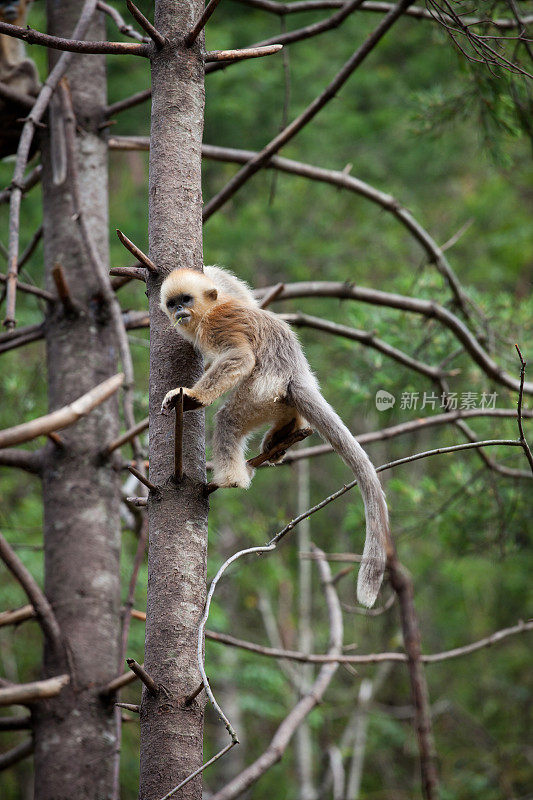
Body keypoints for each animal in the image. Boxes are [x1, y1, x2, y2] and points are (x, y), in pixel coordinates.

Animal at [160, 268, 388, 608]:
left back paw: (231, 479)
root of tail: (296, 376)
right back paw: (285, 433)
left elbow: (240, 357)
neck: (211, 308)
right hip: (271, 399)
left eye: (185, 300)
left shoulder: (218, 322)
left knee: (228, 418)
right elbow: (232, 286)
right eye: (172, 302)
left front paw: (191, 396)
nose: (178, 312)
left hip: (260, 393)